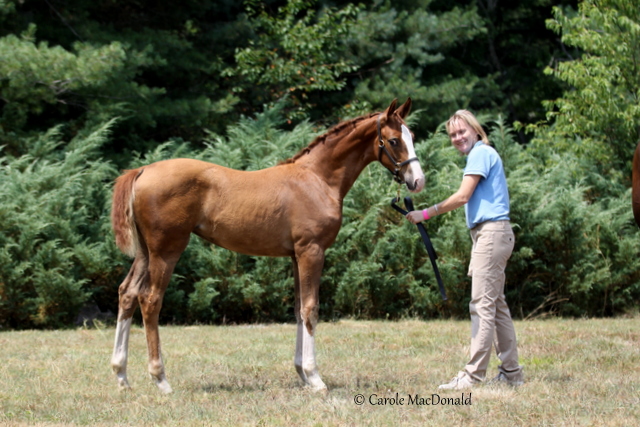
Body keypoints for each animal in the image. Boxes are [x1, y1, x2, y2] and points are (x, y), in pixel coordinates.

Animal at [109, 98, 425, 394]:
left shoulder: (296, 256)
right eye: (394, 140)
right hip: (166, 250)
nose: (418, 181)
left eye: (412, 136)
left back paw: (121, 375)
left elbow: (298, 309)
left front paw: (302, 375)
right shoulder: (312, 251)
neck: (318, 179)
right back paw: (160, 379)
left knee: (127, 293)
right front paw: (315, 378)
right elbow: (311, 308)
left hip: (145, 253)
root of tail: (142, 170)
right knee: (150, 300)